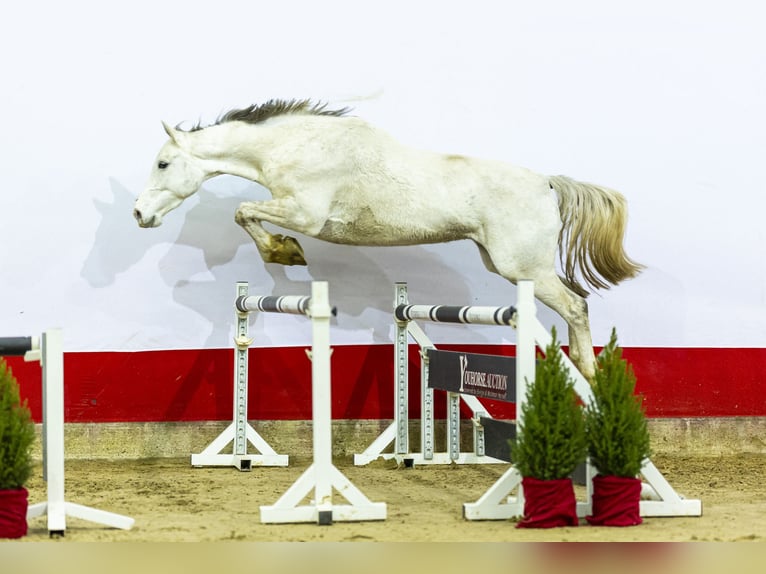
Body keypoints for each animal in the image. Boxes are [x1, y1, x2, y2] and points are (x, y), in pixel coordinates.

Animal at [133, 98, 643, 380]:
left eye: (162, 164)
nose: (139, 214)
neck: (296, 146)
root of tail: (548, 183)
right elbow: (246, 213)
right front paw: (283, 252)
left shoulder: (305, 214)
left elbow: (244, 212)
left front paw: (285, 251)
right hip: (507, 265)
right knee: (575, 305)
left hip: (524, 267)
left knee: (576, 305)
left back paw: (590, 374)